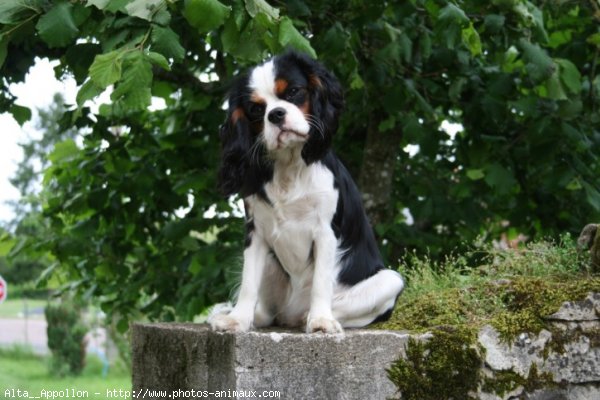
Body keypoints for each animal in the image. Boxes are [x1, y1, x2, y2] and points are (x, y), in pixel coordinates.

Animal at [210, 51, 404, 332]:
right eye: (256, 109)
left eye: (293, 92)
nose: (275, 115)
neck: (289, 165)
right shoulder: (256, 233)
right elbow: (248, 282)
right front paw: (237, 319)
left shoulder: (325, 231)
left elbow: (321, 282)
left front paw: (321, 320)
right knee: (269, 314)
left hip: (390, 280)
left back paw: (310, 317)